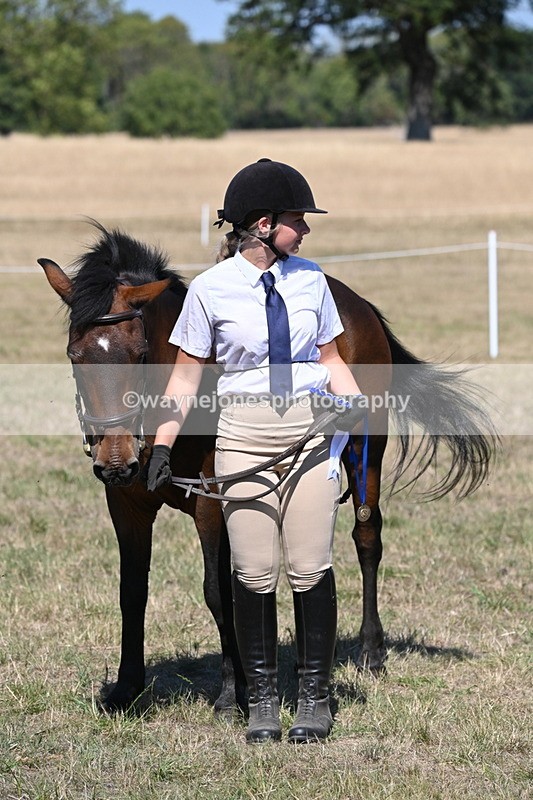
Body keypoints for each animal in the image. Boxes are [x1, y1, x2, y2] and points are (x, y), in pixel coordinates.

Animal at [39, 223, 495, 713]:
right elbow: (132, 592)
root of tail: (357, 304)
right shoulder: (126, 505)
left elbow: (218, 592)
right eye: (75, 355)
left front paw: (231, 692)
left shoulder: (212, 503)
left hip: (365, 448)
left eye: (140, 353)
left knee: (367, 536)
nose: (115, 461)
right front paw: (126, 689)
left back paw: (371, 652)